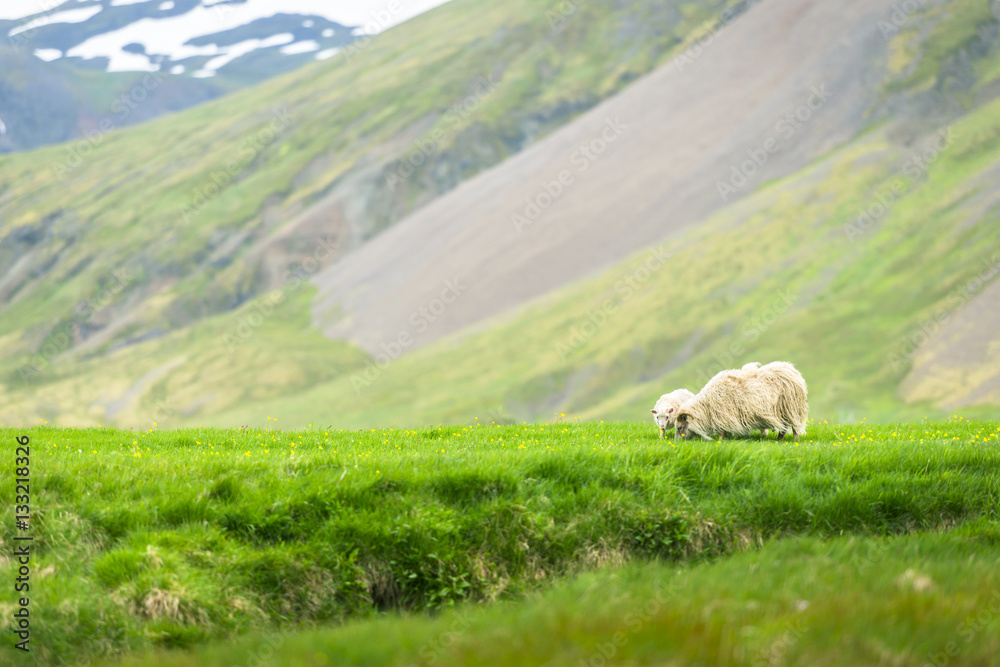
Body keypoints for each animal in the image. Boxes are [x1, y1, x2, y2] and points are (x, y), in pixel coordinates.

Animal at [674, 361, 808, 441]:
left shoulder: (724, 415)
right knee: (784, 428)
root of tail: (793, 371)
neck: (706, 406)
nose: (676, 441)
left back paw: (794, 440)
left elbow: (722, 431)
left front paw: (720, 440)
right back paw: (779, 440)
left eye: (679, 428)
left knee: (794, 427)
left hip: (791, 408)